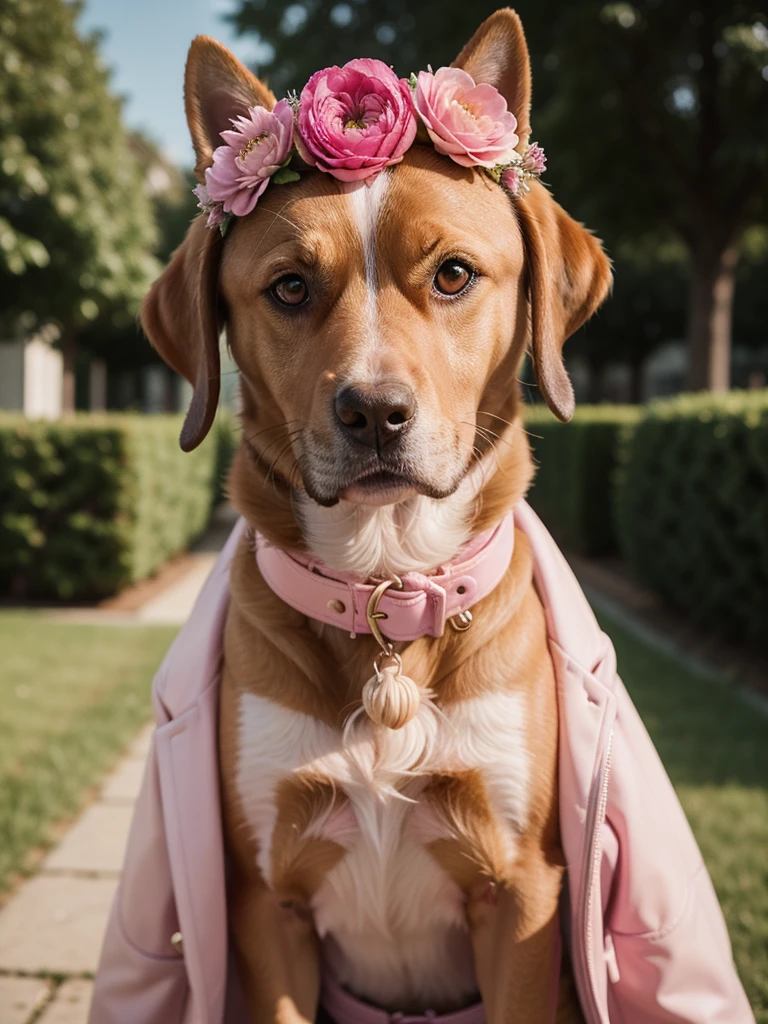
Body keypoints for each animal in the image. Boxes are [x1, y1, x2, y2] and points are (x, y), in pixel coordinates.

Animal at [144, 9, 614, 1024]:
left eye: (454, 276)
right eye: (288, 287)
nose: (373, 413)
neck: (383, 584)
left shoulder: (523, 895)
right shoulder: (266, 897)